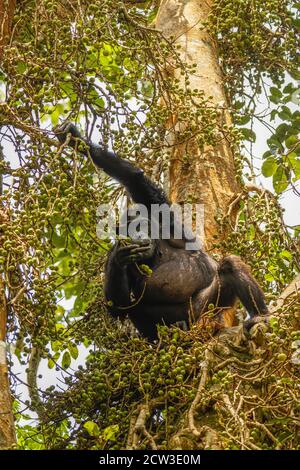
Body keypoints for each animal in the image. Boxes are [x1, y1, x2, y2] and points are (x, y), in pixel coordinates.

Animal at [55, 123, 268, 340]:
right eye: (129, 233)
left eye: (140, 226)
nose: (139, 236)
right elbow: (119, 307)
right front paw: (119, 257)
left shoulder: (166, 221)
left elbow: (135, 179)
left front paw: (76, 139)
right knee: (136, 308)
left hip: (207, 308)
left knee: (229, 265)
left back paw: (260, 316)